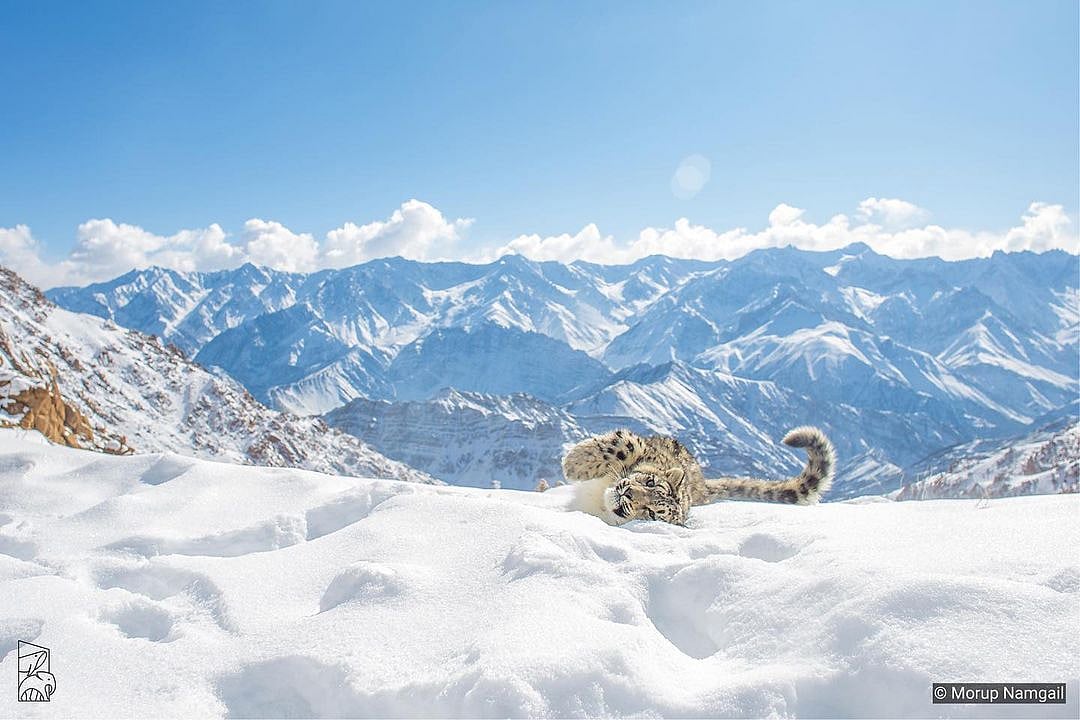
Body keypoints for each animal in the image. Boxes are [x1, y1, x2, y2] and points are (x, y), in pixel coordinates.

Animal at [561, 426, 835, 525]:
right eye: (649, 481)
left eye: (651, 513)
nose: (627, 492)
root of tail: (701, 485)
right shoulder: (644, 450)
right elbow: (626, 444)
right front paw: (574, 462)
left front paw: (571, 463)